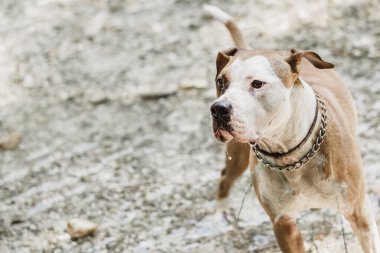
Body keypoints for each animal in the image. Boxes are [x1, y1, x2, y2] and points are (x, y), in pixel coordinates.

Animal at [205, 4, 380, 253]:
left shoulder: (360, 216)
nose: (219, 108)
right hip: (237, 155)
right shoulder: (284, 224)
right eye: (221, 82)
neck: (290, 155)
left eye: (257, 83)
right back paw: (221, 214)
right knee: (224, 178)